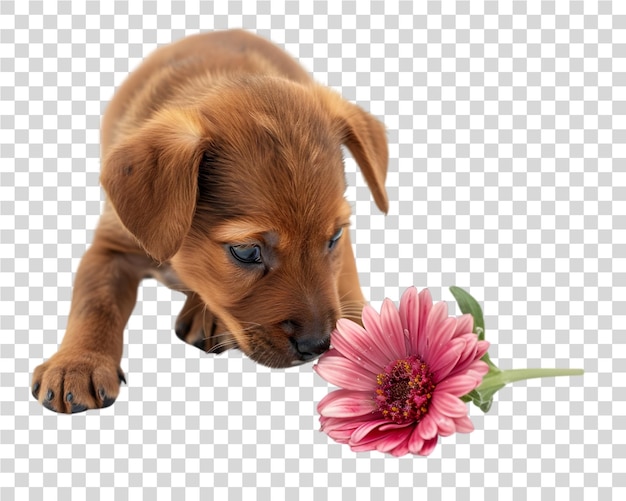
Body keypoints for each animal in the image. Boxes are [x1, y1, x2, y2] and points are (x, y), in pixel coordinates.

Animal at [34, 29, 388, 412]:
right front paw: (77, 364)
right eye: (246, 252)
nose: (318, 345)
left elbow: (346, 283)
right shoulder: (110, 248)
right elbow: (94, 302)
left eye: (334, 237)